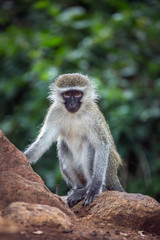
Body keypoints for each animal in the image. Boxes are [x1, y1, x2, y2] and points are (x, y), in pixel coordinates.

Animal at [24, 72, 124, 206]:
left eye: (77, 93)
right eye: (67, 94)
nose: (72, 103)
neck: (74, 114)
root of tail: (114, 177)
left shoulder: (92, 116)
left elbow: (101, 144)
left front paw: (94, 188)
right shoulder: (54, 112)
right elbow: (44, 141)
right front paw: (24, 157)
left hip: (110, 169)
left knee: (89, 145)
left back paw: (89, 189)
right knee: (62, 144)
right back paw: (78, 188)